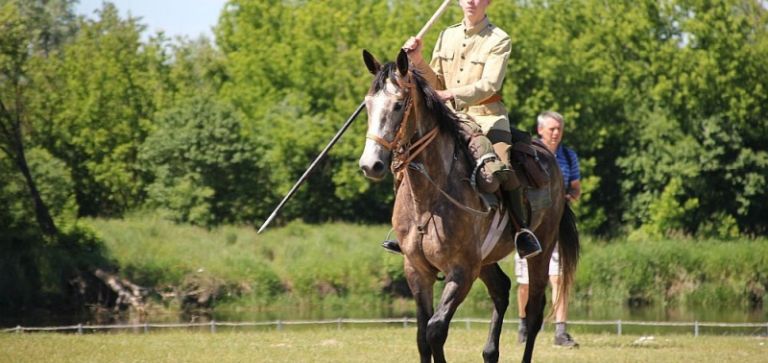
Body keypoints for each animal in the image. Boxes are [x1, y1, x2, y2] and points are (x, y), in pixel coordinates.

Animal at [360, 49, 584, 363]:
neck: (428, 200)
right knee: (502, 290)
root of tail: (548, 156)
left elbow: (435, 329)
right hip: (485, 259)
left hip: (541, 251)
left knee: (534, 313)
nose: (371, 165)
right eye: (368, 105)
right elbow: (422, 337)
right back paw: (490, 352)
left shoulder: (462, 271)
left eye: (398, 105)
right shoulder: (416, 270)